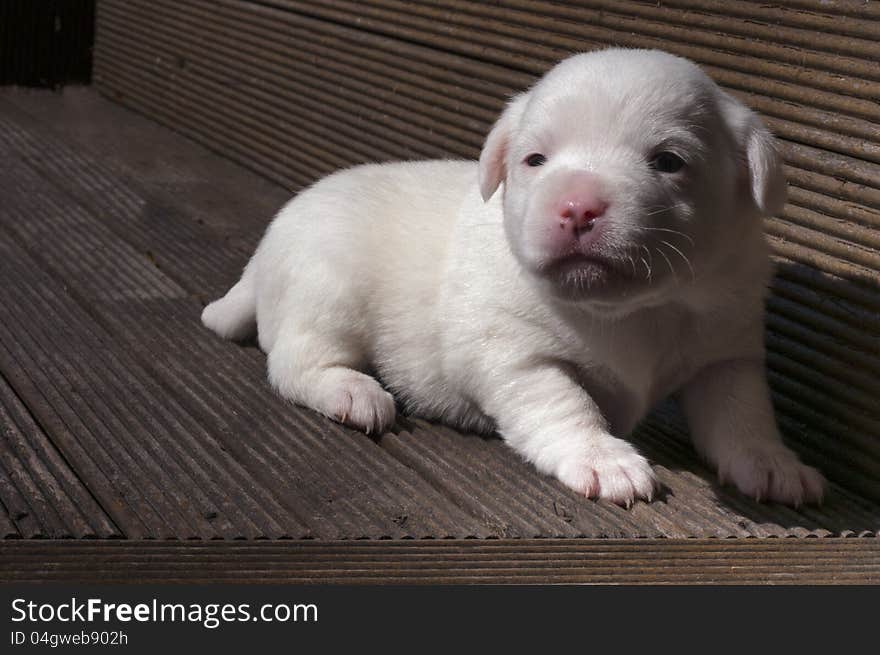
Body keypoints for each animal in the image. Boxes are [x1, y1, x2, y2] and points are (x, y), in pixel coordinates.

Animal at [205, 48, 824, 508]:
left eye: (668, 161)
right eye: (535, 161)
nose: (577, 207)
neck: (629, 309)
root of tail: (264, 250)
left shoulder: (726, 351)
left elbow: (742, 412)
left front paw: (769, 461)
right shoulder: (515, 356)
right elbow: (566, 401)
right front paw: (602, 457)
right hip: (326, 293)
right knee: (295, 361)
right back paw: (351, 390)